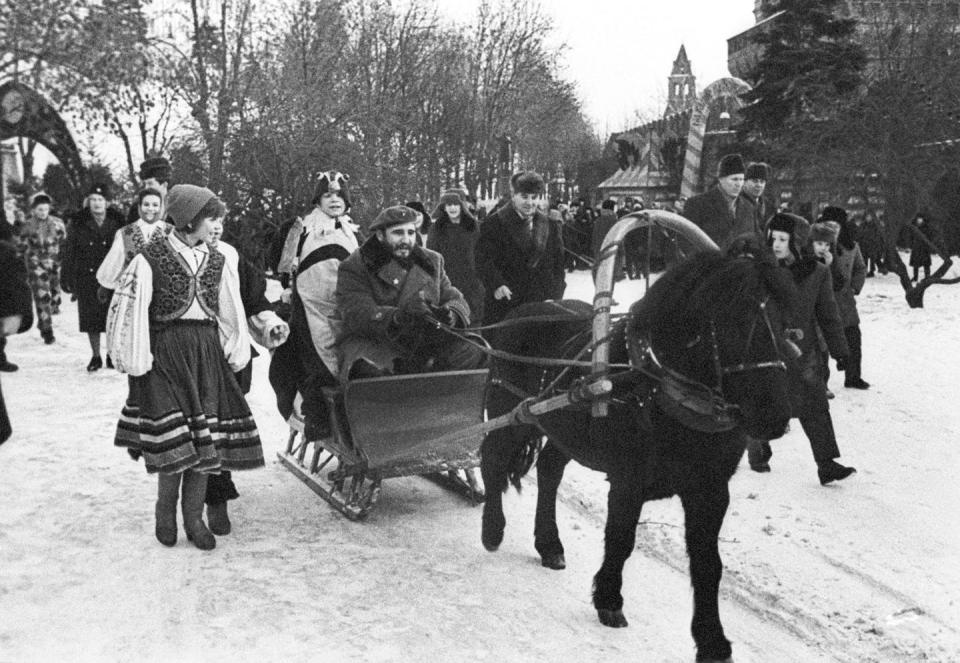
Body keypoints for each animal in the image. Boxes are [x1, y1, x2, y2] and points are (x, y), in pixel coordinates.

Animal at [480, 250, 796, 663]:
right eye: (736, 320)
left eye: (786, 323)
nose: (776, 416)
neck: (658, 389)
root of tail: (521, 313)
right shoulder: (628, 481)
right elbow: (621, 539)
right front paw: (609, 599)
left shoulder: (710, 491)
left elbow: (709, 564)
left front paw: (711, 639)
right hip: (512, 412)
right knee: (492, 460)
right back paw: (492, 529)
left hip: (563, 430)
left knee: (548, 471)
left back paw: (549, 544)